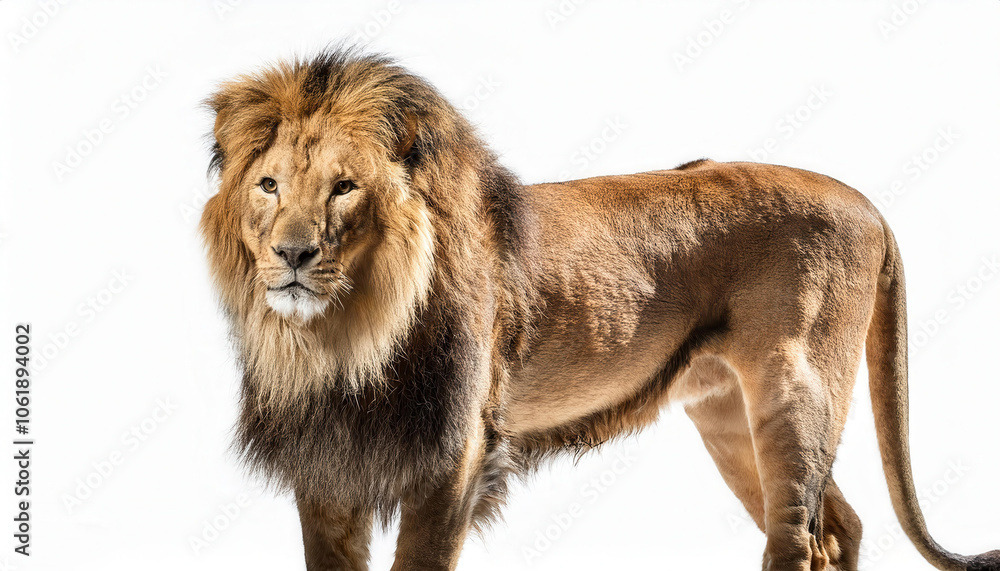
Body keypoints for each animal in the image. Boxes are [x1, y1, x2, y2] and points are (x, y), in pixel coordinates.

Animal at [200, 48, 999, 571]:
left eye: (344, 188)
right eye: (269, 185)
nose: (291, 254)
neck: (346, 337)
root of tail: (867, 201)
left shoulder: (454, 458)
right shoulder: (326, 470)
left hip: (796, 389)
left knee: (798, 538)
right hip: (728, 413)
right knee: (841, 528)